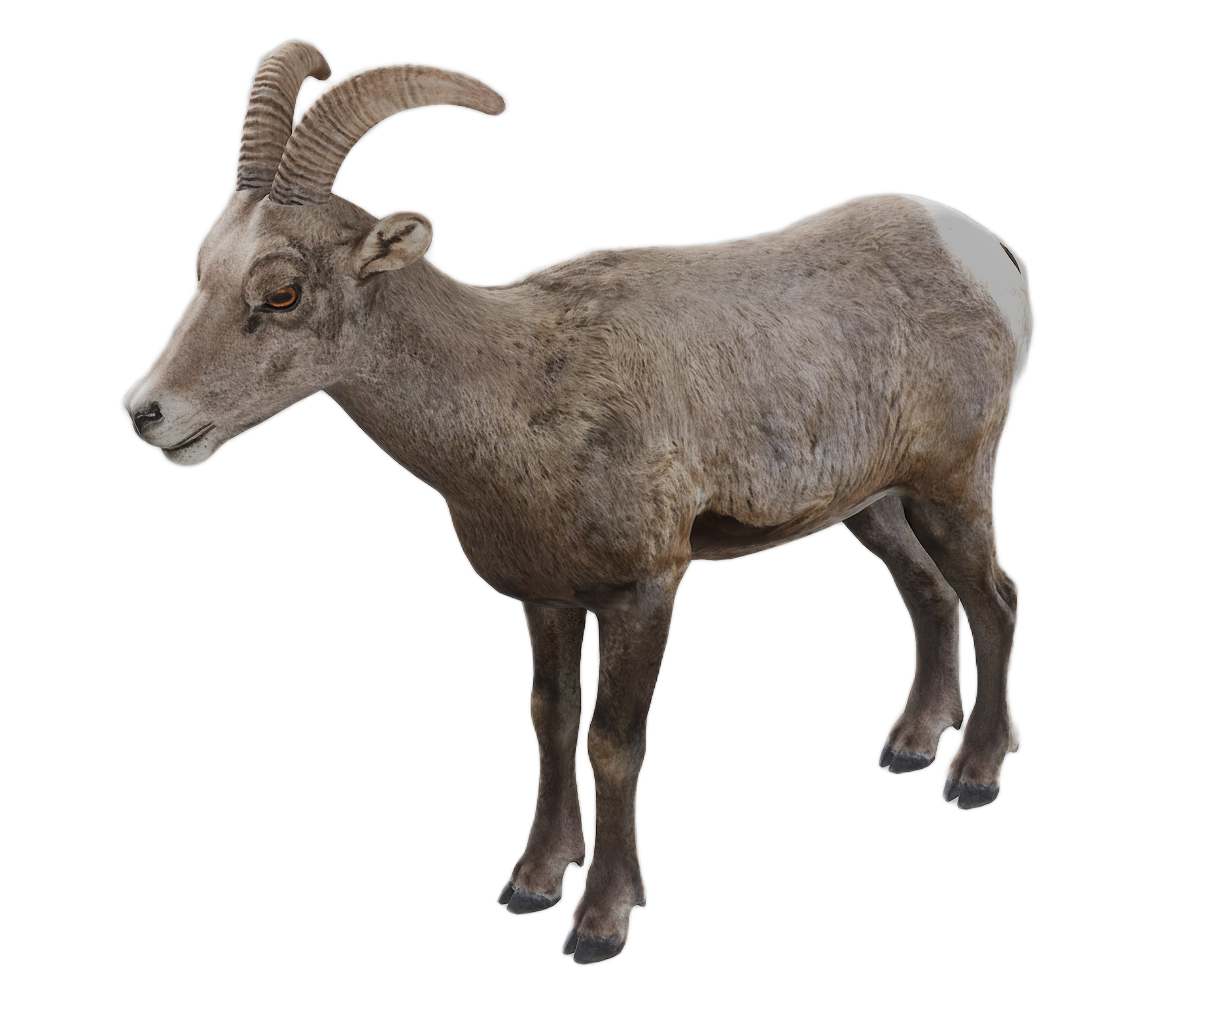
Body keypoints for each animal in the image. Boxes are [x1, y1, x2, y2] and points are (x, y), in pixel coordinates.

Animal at [119, 38, 1036, 966]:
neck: (524, 386)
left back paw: (973, 777)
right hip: (877, 506)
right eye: (202, 269)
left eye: (282, 292)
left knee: (995, 596)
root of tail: (988, 253)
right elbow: (551, 723)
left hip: (952, 487)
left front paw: (600, 920)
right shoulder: (548, 600)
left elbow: (615, 743)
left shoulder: (646, 594)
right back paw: (911, 748)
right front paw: (530, 885)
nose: (147, 413)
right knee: (930, 596)